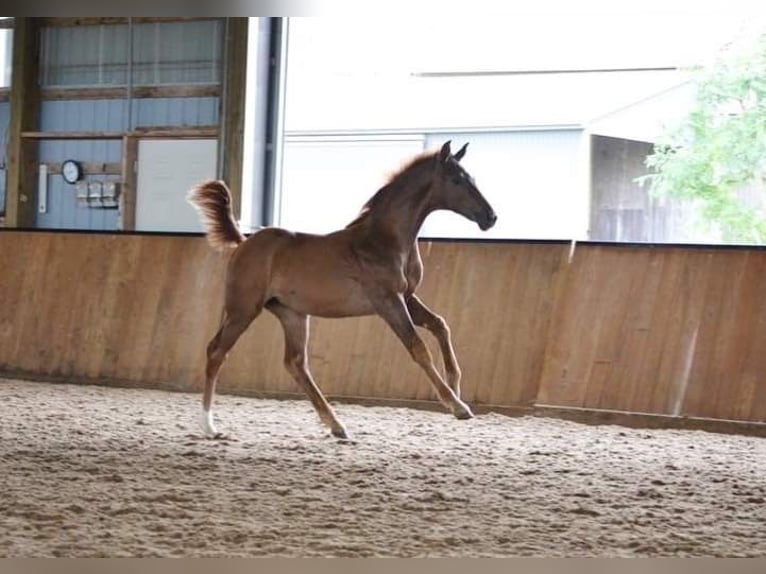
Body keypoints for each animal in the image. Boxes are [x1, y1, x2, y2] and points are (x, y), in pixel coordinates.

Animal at [188, 141, 498, 440]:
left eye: (471, 178)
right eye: (456, 180)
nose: (490, 217)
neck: (385, 240)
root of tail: (243, 242)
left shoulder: (407, 298)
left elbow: (440, 325)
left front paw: (455, 384)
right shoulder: (388, 302)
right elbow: (418, 347)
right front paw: (457, 406)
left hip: (292, 314)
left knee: (295, 363)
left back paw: (336, 425)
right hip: (243, 309)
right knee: (216, 351)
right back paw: (209, 426)